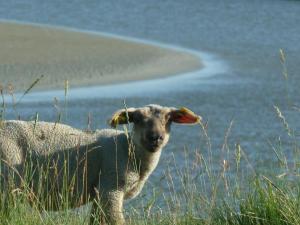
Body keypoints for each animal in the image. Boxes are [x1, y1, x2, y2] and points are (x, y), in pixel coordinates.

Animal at [0, 104, 202, 224]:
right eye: (136, 119)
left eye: (169, 119)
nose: (155, 137)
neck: (128, 150)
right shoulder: (111, 188)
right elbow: (116, 220)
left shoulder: (100, 193)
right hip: (8, 181)